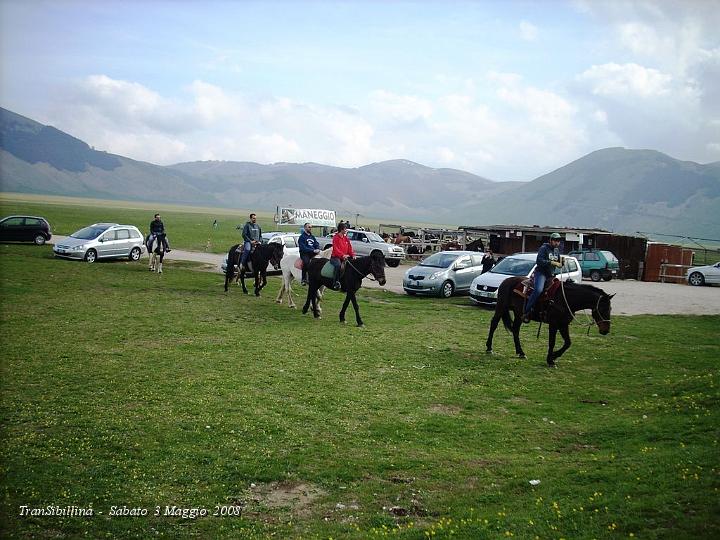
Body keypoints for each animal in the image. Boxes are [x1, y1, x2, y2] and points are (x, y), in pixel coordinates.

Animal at [484, 276, 612, 370]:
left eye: (610, 309)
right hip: (501, 307)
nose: (606, 330)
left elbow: (568, 343)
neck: (565, 299)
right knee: (494, 324)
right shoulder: (554, 324)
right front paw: (550, 360)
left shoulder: (563, 324)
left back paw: (521, 352)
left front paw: (554, 356)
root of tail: (506, 281)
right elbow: (552, 342)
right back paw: (489, 348)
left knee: (515, 330)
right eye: (603, 309)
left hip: (518, 314)